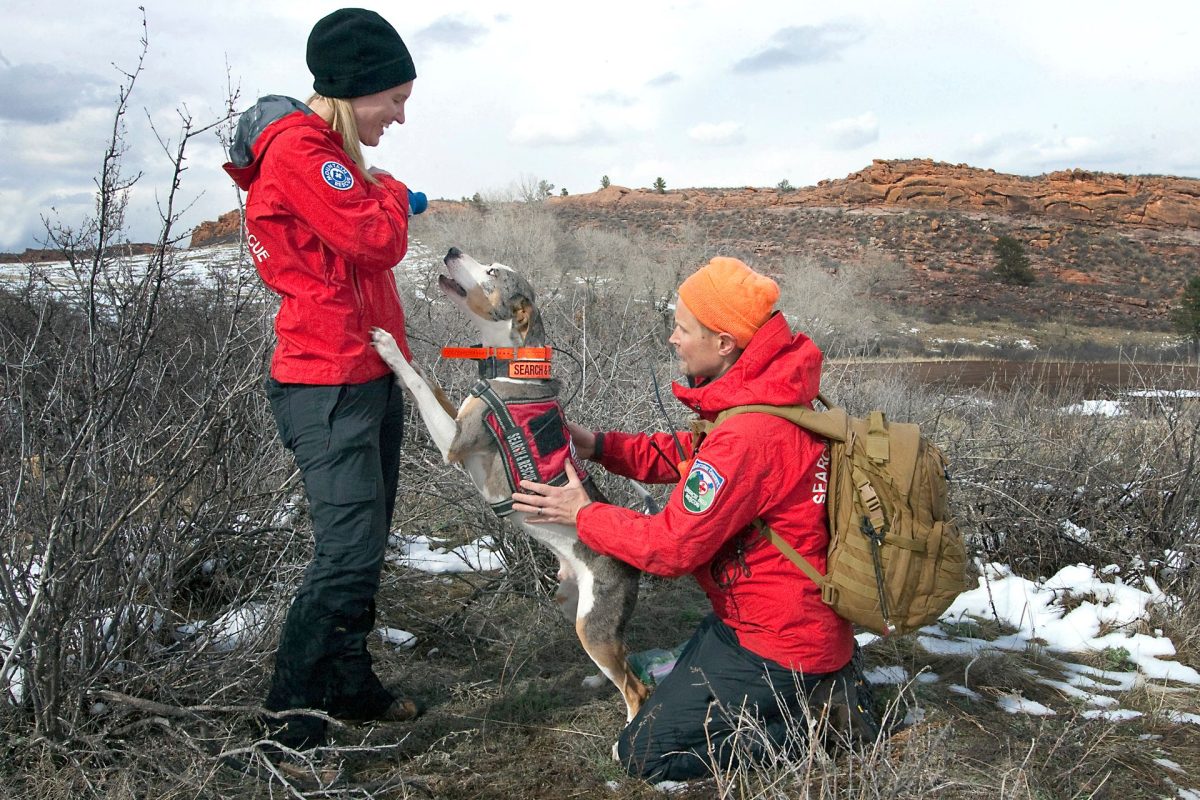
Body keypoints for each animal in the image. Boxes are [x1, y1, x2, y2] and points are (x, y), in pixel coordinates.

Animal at [369, 247, 652, 724]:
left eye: (491, 272)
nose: (451, 250)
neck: (513, 367)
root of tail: (631, 565)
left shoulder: (456, 442)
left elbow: (419, 383)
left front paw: (390, 347)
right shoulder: (459, 415)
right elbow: (434, 384)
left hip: (592, 622)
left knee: (637, 688)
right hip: (572, 606)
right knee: (623, 658)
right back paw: (596, 680)